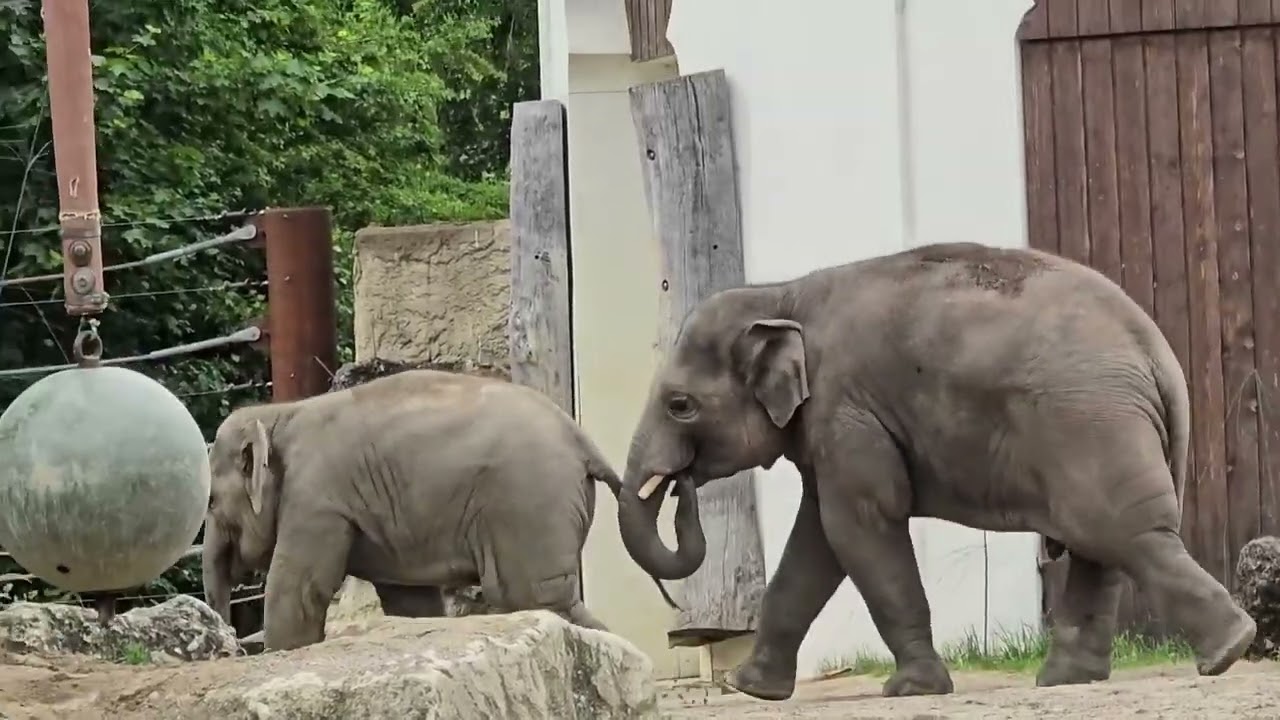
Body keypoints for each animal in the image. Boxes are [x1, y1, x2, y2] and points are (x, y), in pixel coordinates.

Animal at [201, 368, 678, 651]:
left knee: (533, 598)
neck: (279, 412)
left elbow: (296, 589)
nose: (229, 644)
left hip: (530, 503)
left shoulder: (316, 500)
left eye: (209, 500)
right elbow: (409, 601)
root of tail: (581, 439)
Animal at [614, 242, 1257, 701]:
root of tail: (1157, 352)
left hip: (1088, 422)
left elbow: (858, 526)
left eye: (680, 405)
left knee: (1122, 534)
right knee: (1105, 545)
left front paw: (911, 689)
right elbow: (818, 540)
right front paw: (751, 690)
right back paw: (1069, 680)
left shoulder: (845, 408)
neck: (780, 295)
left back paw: (1229, 649)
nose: (681, 483)